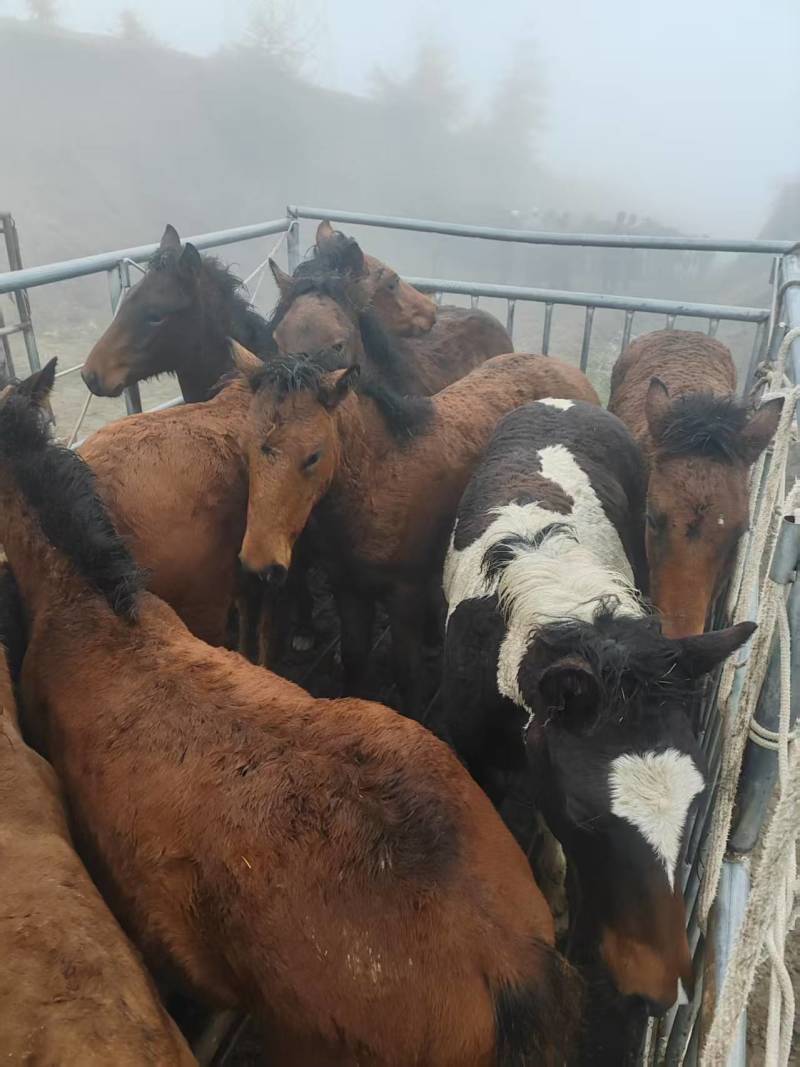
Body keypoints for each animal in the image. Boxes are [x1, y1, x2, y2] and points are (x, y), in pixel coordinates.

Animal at [235, 347, 600, 713]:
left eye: (313, 456)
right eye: (245, 448)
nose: (259, 564)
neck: (379, 479)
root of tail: (572, 373)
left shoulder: (404, 593)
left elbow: (407, 671)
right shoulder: (347, 587)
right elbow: (355, 657)